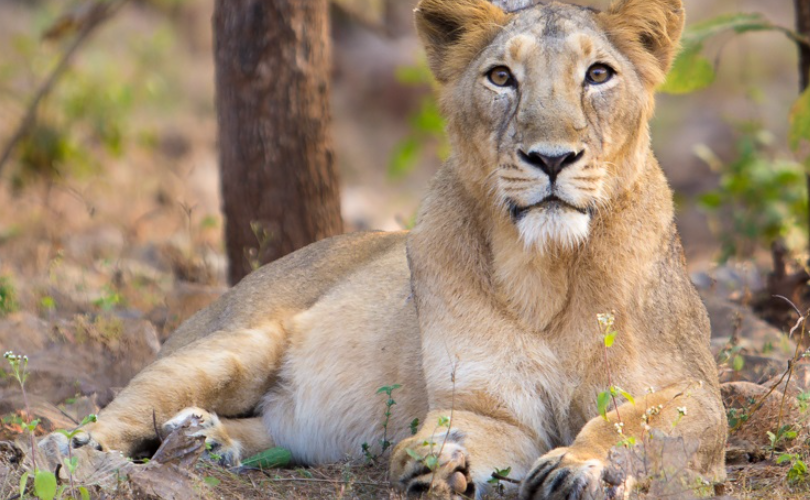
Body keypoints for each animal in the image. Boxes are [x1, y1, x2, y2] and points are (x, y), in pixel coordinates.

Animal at [42, 0, 727, 498]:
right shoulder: (483, 405)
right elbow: (463, 432)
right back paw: (78, 451)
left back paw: (206, 438)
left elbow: (631, 419)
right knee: (125, 408)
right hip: (233, 345)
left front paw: (574, 466)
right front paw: (432, 462)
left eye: (598, 74)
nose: (551, 158)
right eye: (502, 77)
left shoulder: (699, 395)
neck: (547, 270)